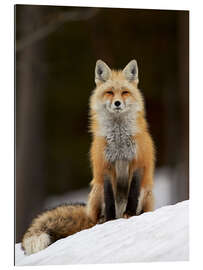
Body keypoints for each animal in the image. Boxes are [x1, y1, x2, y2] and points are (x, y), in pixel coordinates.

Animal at [21, 59, 154, 255]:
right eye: (109, 92)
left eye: (124, 92)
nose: (117, 103)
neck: (119, 139)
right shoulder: (104, 167)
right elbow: (109, 199)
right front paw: (111, 221)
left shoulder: (138, 163)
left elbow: (133, 194)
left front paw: (129, 215)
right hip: (96, 190)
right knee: (96, 216)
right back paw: (101, 221)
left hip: (147, 192)